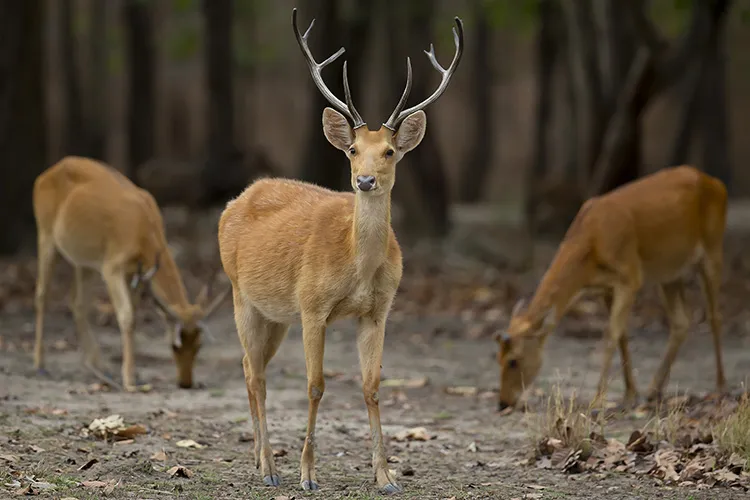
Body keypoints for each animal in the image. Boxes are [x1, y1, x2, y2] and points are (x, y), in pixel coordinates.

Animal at [32, 156, 231, 390]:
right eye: (174, 345)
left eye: (199, 345)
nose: (185, 382)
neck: (143, 231)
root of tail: (46, 174)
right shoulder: (112, 268)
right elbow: (127, 316)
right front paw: (129, 380)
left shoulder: (134, 274)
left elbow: (134, 314)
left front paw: (134, 374)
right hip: (46, 236)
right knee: (42, 294)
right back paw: (40, 364)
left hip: (85, 262)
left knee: (77, 302)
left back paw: (99, 366)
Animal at [217, 9, 464, 494]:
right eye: (352, 149)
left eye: (389, 151)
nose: (364, 180)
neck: (357, 267)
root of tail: (237, 199)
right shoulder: (313, 306)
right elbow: (316, 385)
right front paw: (307, 475)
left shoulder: (378, 311)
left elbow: (371, 386)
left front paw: (386, 476)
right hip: (240, 293)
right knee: (256, 372)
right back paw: (270, 467)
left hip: (275, 314)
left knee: (250, 367)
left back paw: (258, 459)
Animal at [500, 166, 728, 412]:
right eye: (497, 358)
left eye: (513, 360)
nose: (502, 403)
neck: (593, 243)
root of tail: (716, 183)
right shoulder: (606, 288)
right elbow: (622, 335)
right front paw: (630, 394)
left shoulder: (630, 276)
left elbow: (610, 333)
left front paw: (599, 398)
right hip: (670, 272)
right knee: (681, 322)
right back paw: (654, 390)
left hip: (713, 248)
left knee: (714, 316)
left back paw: (720, 387)